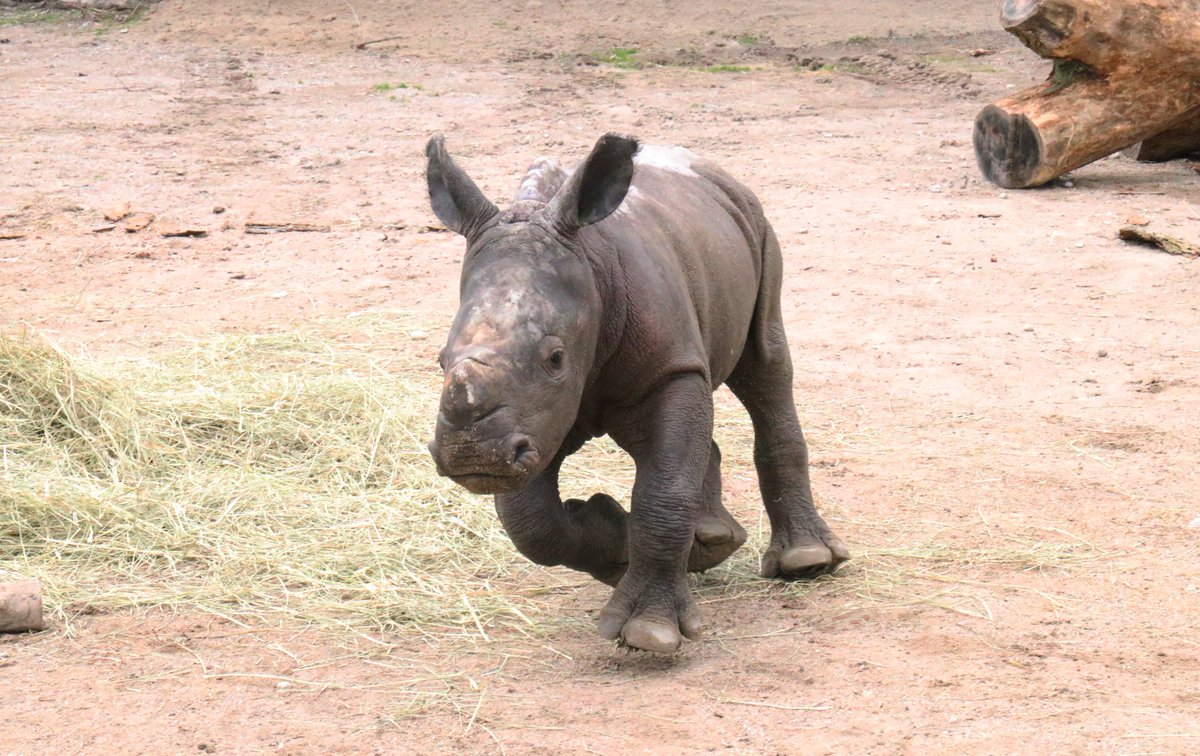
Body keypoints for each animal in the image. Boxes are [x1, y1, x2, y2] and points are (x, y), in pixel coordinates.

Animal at [427, 133, 849, 652]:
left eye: (555, 358)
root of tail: (708, 166)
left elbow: (663, 490)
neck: (591, 267)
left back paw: (807, 562)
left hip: (756, 224)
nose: (471, 455)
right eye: (441, 360)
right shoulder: (536, 422)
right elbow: (531, 522)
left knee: (766, 367)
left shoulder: (668, 370)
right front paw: (612, 538)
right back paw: (711, 544)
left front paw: (650, 632)